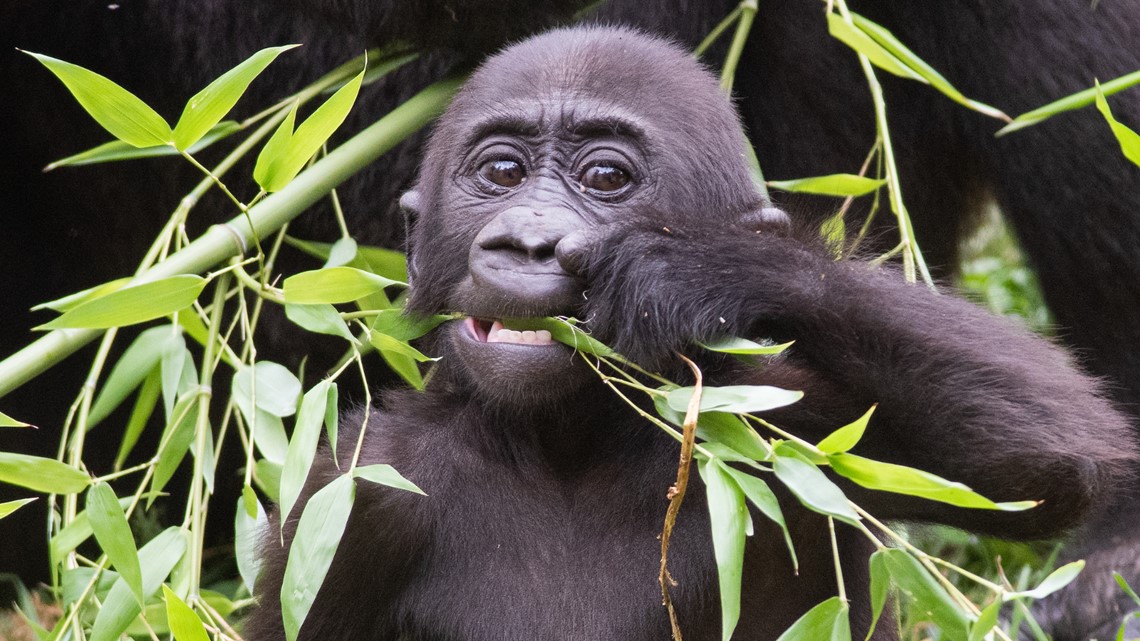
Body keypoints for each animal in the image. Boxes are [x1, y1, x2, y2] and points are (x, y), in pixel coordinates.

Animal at [245, 26, 1135, 638]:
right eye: (499, 172)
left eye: (607, 178)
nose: (525, 241)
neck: (567, 449)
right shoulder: (348, 496)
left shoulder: (802, 418)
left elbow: (1058, 461)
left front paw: (695, 268)